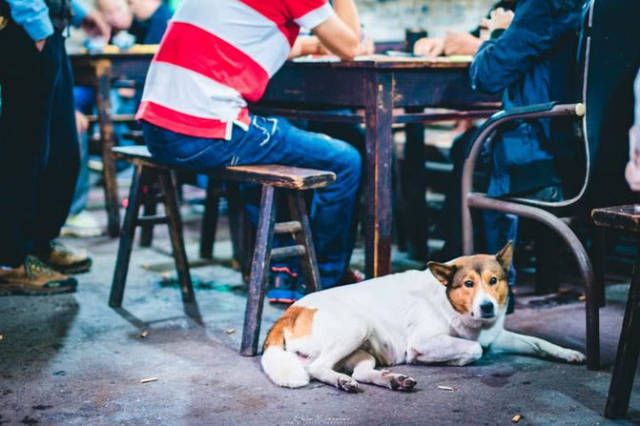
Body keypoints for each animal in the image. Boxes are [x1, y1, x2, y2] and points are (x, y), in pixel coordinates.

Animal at [260, 243, 584, 392]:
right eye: (468, 284)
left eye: (494, 281)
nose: (487, 307)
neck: (450, 304)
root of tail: (290, 312)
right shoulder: (423, 341)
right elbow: (474, 349)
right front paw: (455, 360)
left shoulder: (497, 335)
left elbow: (538, 342)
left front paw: (568, 353)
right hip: (356, 326)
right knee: (316, 367)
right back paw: (343, 381)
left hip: (364, 350)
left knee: (360, 372)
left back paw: (391, 380)